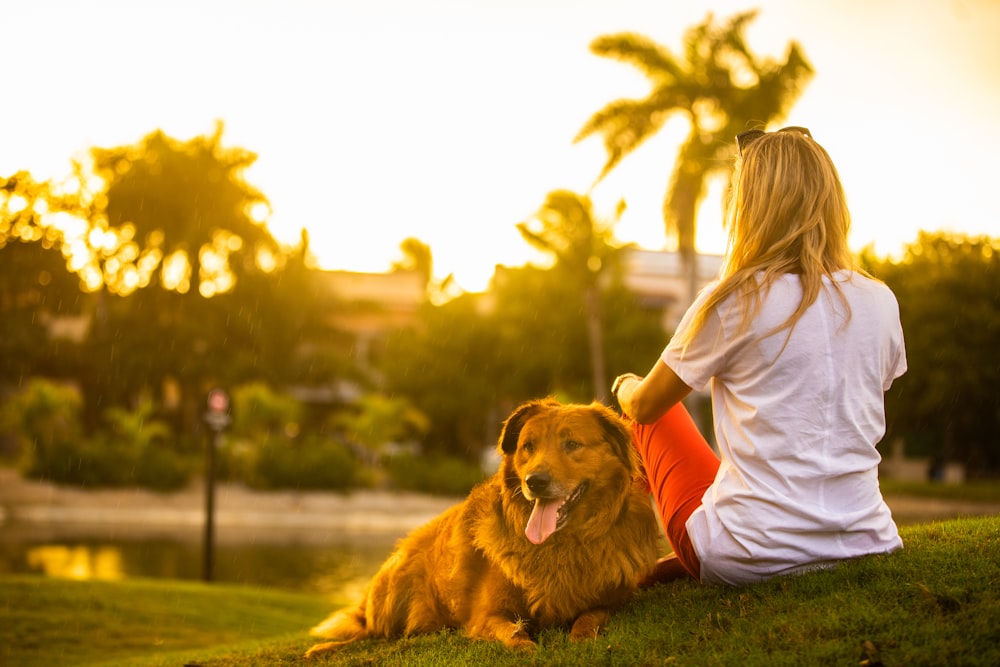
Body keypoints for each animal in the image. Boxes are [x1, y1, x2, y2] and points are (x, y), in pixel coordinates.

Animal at [306, 396, 664, 656]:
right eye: (528, 446)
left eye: (572, 444)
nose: (535, 481)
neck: (560, 545)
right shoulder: (486, 615)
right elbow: (514, 635)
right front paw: (528, 648)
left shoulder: (611, 600)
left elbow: (589, 618)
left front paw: (581, 638)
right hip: (395, 587)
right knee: (371, 634)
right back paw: (325, 648)